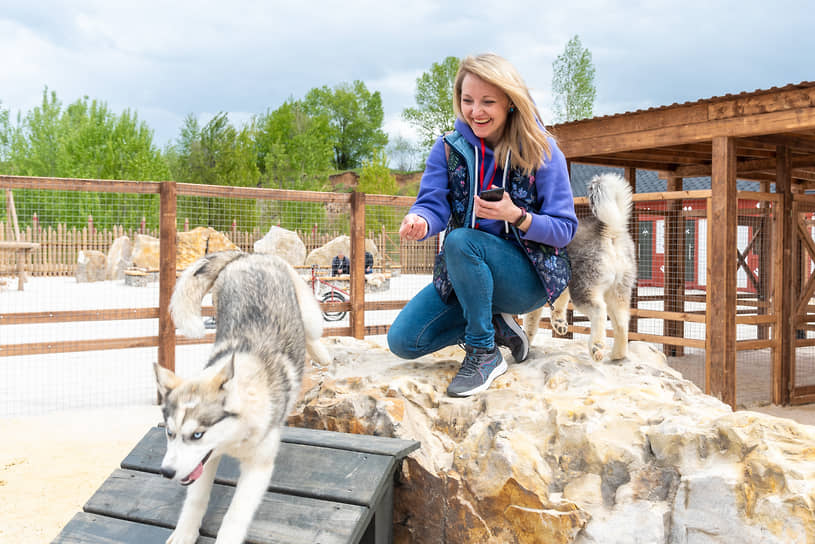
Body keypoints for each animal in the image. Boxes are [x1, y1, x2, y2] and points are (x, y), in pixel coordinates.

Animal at [153, 251, 332, 544]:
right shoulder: (205, 460)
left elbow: (235, 516)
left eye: (197, 435)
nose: (166, 472)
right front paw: (184, 533)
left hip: (309, 313)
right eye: (170, 433)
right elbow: (196, 499)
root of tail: (247, 254)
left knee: (312, 332)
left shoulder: (258, 466)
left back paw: (322, 354)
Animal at [524, 174, 636, 362]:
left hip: (584, 288)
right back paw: (617, 354)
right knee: (621, 322)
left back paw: (596, 346)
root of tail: (608, 230)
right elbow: (547, 311)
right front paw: (558, 323)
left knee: (599, 310)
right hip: (618, 291)